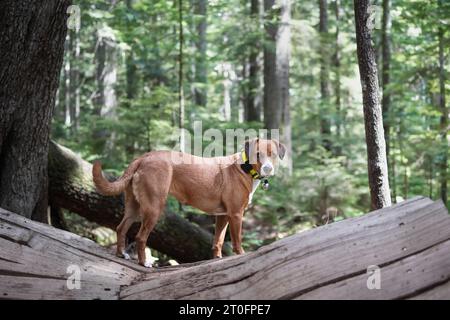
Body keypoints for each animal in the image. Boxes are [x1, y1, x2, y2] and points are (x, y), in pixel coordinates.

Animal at [93, 139, 286, 266]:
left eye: (274, 155)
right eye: (258, 155)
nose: (268, 168)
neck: (243, 167)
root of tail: (143, 157)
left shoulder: (223, 216)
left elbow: (218, 241)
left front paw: (217, 260)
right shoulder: (236, 215)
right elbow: (237, 241)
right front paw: (241, 256)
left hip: (134, 208)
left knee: (121, 228)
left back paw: (121, 254)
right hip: (153, 208)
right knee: (140, 237)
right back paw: (143, 262)